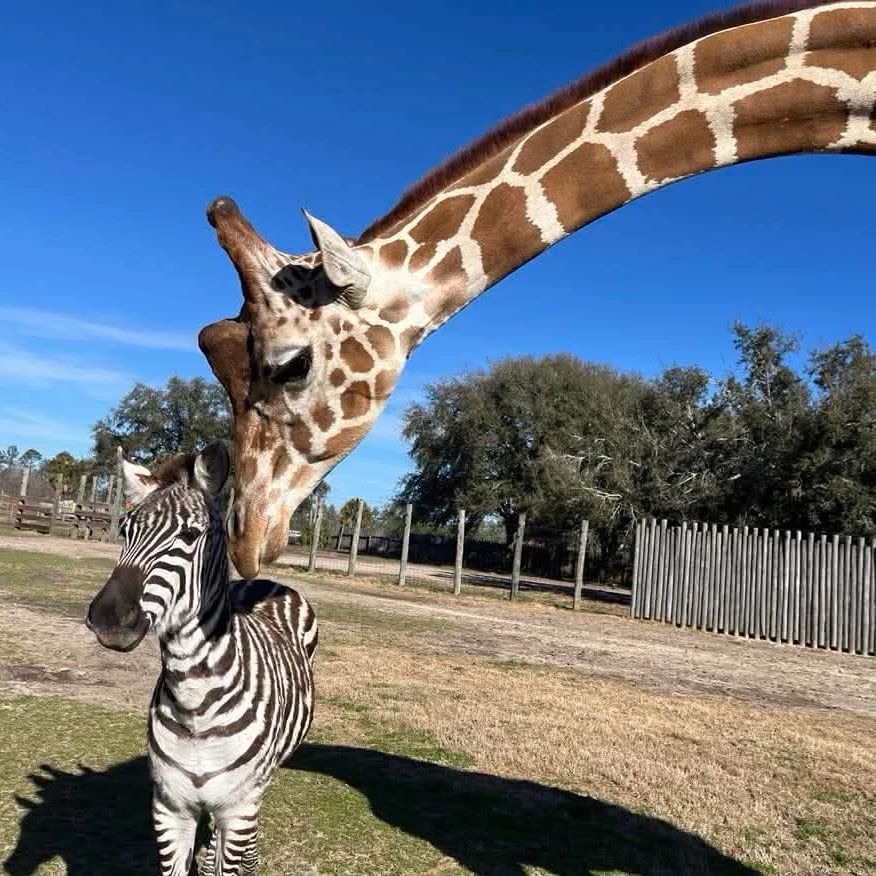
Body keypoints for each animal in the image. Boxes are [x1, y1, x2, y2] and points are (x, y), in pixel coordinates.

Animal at [86, 442, 317, 875]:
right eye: (124, 531)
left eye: (190, 535)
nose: (107, 618)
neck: (194, 701)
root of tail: (265, 582)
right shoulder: (169, 807)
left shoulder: (236, 809)